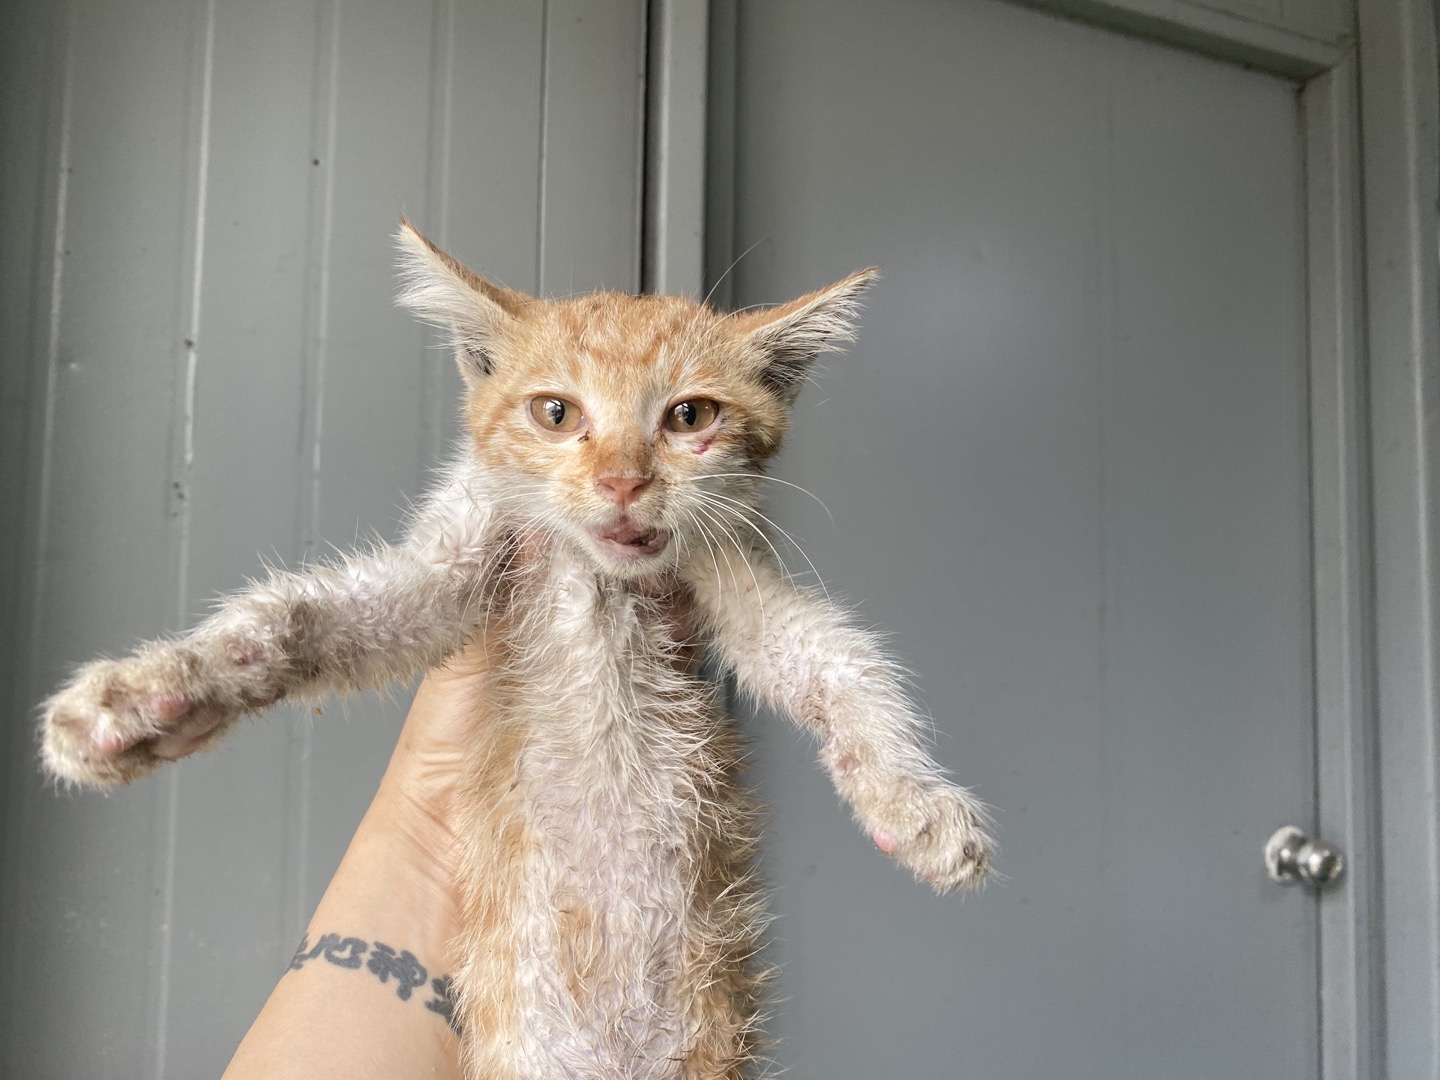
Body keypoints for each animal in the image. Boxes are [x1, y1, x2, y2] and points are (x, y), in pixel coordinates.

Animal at [39, 221, 996, 1080]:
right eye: (555, 412)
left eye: (689, 415)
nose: (622, 481)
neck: (601, 581)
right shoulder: (453, 570)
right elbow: (308, 616)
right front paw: (148, 694)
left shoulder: (733, 574)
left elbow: (838, 662)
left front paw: (916, 802)